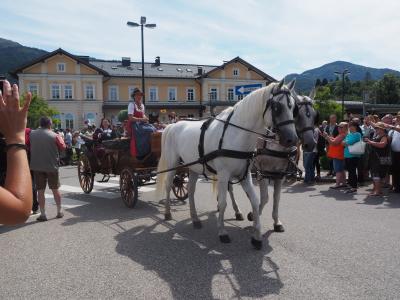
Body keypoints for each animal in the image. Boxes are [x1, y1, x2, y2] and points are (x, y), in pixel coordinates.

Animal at [158, 79, 298, 248]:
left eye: (293, 107)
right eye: (277, 107)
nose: (292, 140)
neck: (236, 134)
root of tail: (173, 125)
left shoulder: (245, 175)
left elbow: (255, 200)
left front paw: (256, 236)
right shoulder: (224, 175)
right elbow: (223, 202)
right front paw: (222, 232)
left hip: (194, 168)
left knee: (190, 191)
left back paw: (195, 218)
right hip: (173, 164)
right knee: (168, 185)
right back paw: (167, 213)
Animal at [230, 91, 318, 232]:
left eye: (315, 116)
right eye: (297, 114)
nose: (310, 144)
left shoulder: (280, 174)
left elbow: (277, 198)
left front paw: (276, 222)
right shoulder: (263, 171)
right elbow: (265, 198)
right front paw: (254, 215)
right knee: (230, 188)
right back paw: (237, 211)